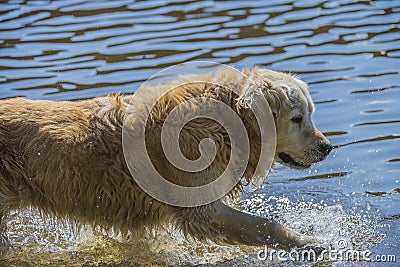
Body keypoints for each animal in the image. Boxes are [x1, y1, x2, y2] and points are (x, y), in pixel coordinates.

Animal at [0, 67, 332, 253]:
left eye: (311, 114)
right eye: (297, 118)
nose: (328, 147)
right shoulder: (201, 212)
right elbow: (265, 224)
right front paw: (309, 242)